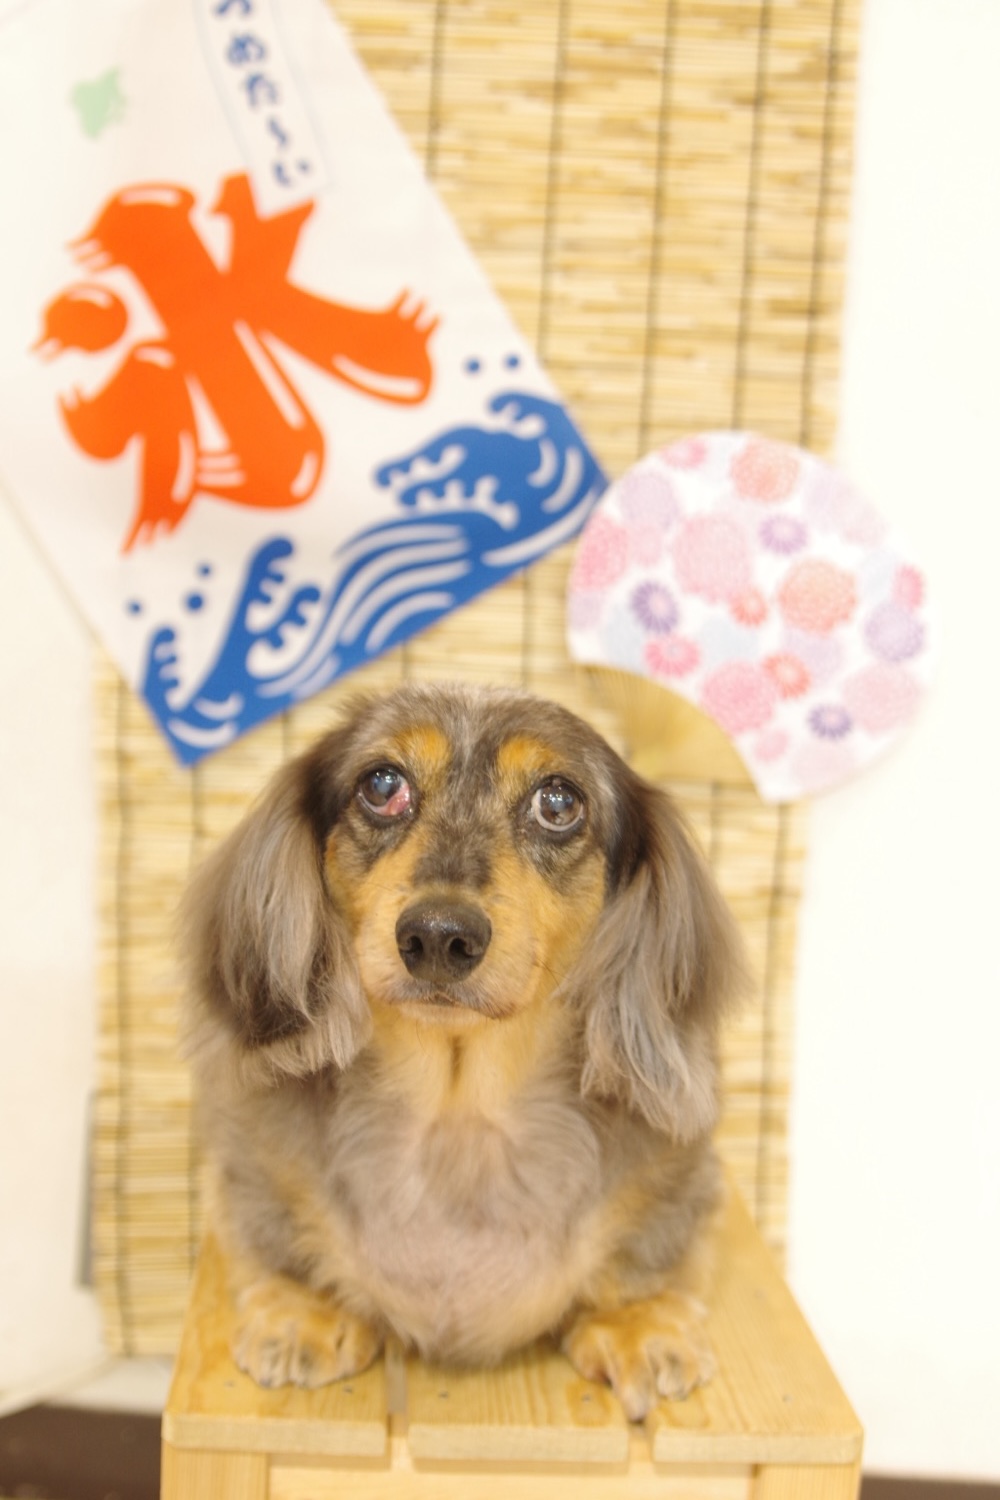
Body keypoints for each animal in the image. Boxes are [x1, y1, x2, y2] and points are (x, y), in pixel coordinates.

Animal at [181, 682, 744, 1421]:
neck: (458, 1112)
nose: (438, 936)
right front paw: (304, 1309)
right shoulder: (255, 1168)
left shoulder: (679, 1181)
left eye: (558, 802)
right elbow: (272, 1237)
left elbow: (658, 1253)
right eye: (381, 785)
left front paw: (638, 1322)